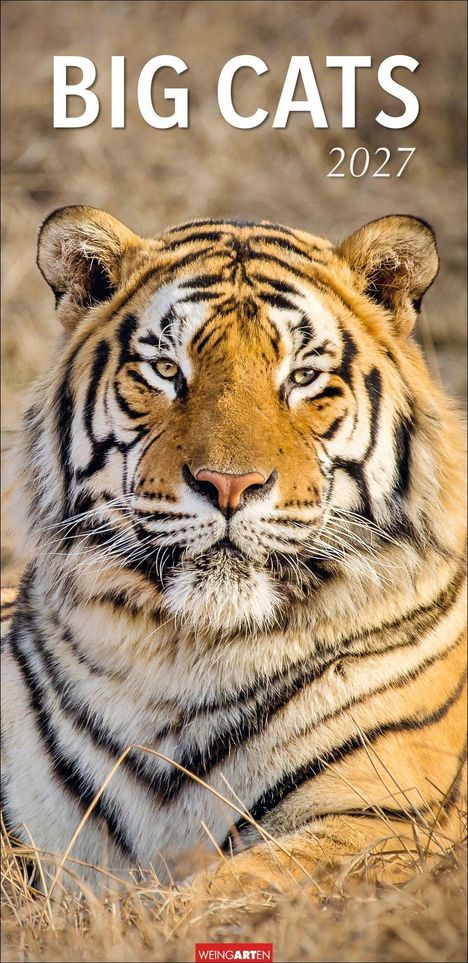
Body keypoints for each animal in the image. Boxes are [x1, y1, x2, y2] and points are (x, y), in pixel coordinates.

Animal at [1, 207, 466, 896]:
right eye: (167, 370)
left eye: (302, 377)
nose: (228, 484)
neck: (181, 657)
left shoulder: (380, 817)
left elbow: (215, 892)